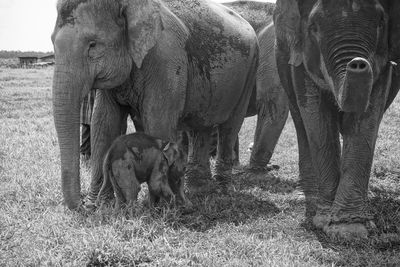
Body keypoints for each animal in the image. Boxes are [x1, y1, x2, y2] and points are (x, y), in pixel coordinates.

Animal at [51, 0, 258, 210]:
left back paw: (222, 190)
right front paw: (101, 205)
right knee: (200, 127)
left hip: (249, 72)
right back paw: (200, 189)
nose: (82, 204)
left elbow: (157, 121)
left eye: (93, 44)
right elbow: (104, 123)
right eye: (52, 42)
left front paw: (159, 207)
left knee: (230, 127)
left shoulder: (166, 61)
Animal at [276, 0, 400, 239]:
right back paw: (309, 196)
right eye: (314, 27)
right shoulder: (300, 56)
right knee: (300, 123)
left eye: (381, 22)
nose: (358, 62)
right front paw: (326, 221)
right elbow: (317, 118)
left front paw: (349, 229)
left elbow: (366, 118)